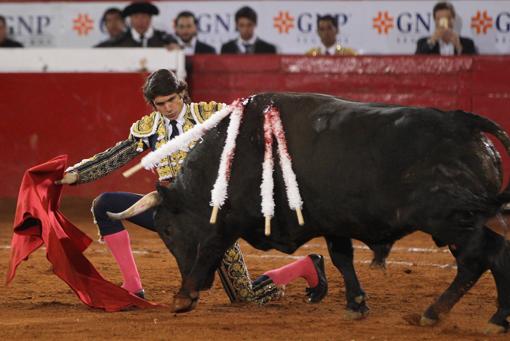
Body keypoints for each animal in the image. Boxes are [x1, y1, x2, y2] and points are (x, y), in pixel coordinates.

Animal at [153, 91, 510, 330]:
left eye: (167, 230)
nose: (204, 286)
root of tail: (463, 123)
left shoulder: (229, 218)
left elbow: (210, 246)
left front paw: (183, 297)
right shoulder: (334, 222)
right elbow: (343, 259)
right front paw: (356, 304)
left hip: (452, 219)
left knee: (481, 259)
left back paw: (451, 314)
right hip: (466, 221)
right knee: (488, 257)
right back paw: (482, 316)